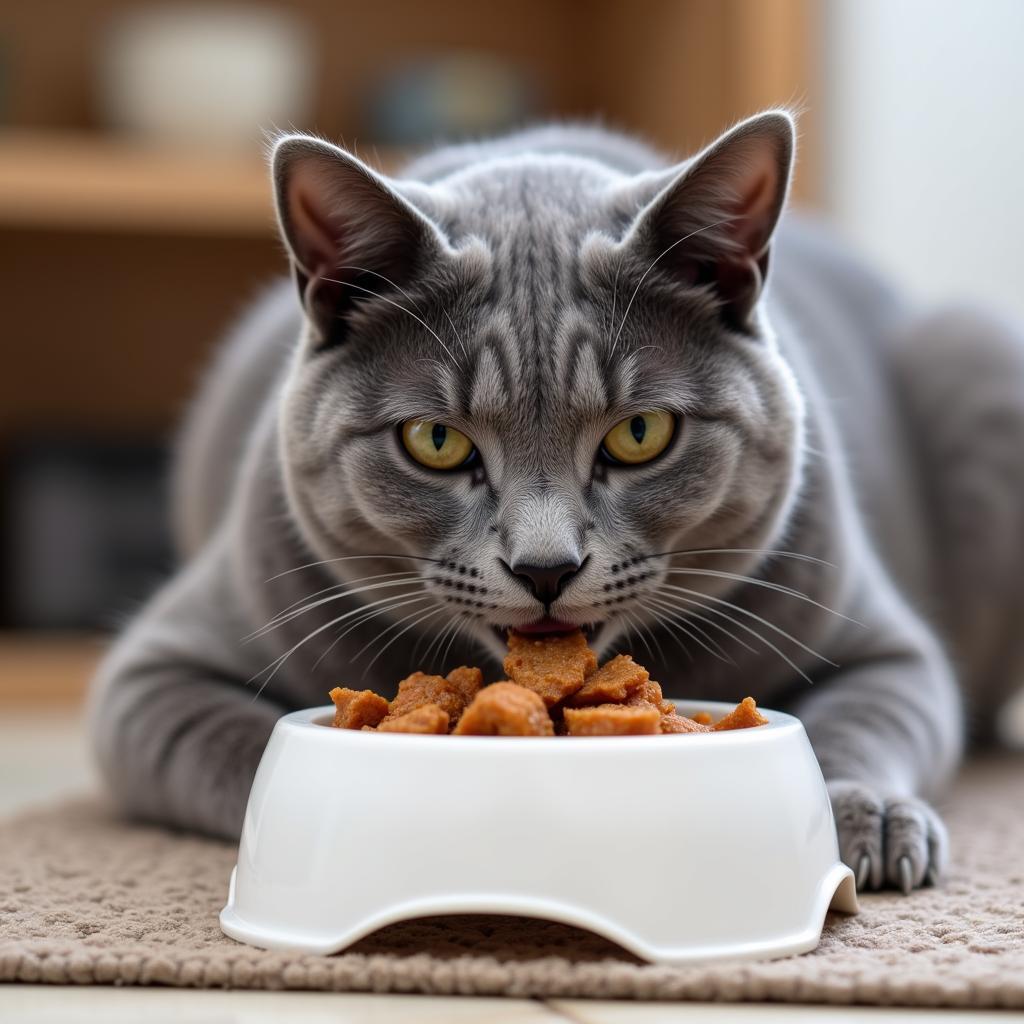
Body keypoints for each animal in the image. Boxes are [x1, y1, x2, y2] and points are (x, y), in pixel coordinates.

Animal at [88, 112, 1024, 892]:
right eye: (436, 442)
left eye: (641, 432)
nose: (545, 568)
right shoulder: (151, 677)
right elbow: (246, 741)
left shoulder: (887, 648)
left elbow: (855, 721)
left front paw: (870, 818)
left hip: (979, 355)